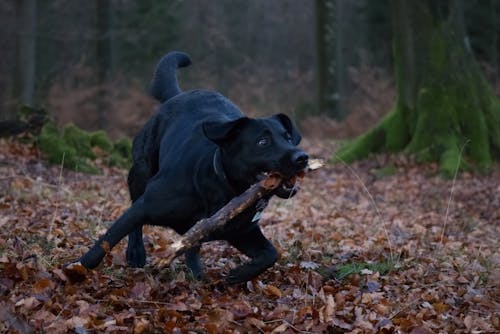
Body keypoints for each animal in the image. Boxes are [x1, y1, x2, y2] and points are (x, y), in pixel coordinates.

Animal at [78, 51, 308, 284]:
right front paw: (77, 270)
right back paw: (136, 253)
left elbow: (271, 254)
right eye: (263, 142)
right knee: (134, 205)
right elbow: (106, 240)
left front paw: (238, 275)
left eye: (288, 138)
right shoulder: (146, 205)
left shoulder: (243, 231)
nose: (302, 157)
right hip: (141, 172)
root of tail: (177, 95)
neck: (225, 188)